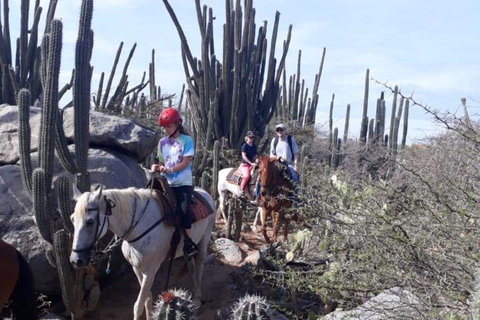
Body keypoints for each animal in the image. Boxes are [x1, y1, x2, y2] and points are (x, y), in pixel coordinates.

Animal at [69, 185, 216, 320]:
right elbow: (147, 299)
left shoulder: (150, 271)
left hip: (204, 241)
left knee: (199, 267)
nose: (76, 259)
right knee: (192, 267)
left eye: (90, 221)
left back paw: (197, 299)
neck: (139, 226)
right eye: (72, 219)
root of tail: (205, 192)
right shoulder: (137, 268)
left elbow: (138, 305)